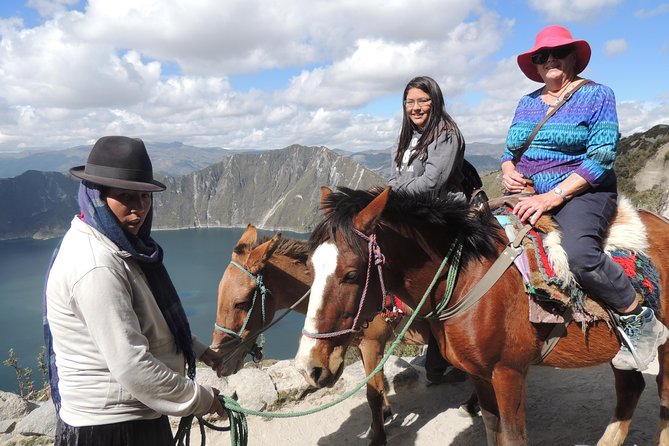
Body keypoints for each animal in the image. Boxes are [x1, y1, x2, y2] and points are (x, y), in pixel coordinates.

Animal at [211, 225, 430, 446]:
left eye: (242, 303)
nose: (219, 361)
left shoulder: (372, 344)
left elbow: (373, 393)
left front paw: (378, 436)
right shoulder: (363, 347)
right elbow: (378, 383)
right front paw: (384, 415)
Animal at [294, 187, 669, 446]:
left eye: (351, 275)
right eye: (309, 266)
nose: (310, 367)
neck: (466, 277)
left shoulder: (509, 373)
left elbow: (513, 437)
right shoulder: (478, 373)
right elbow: (492, 428)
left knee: (662, 394)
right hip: (619, 352)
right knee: (630, 388)